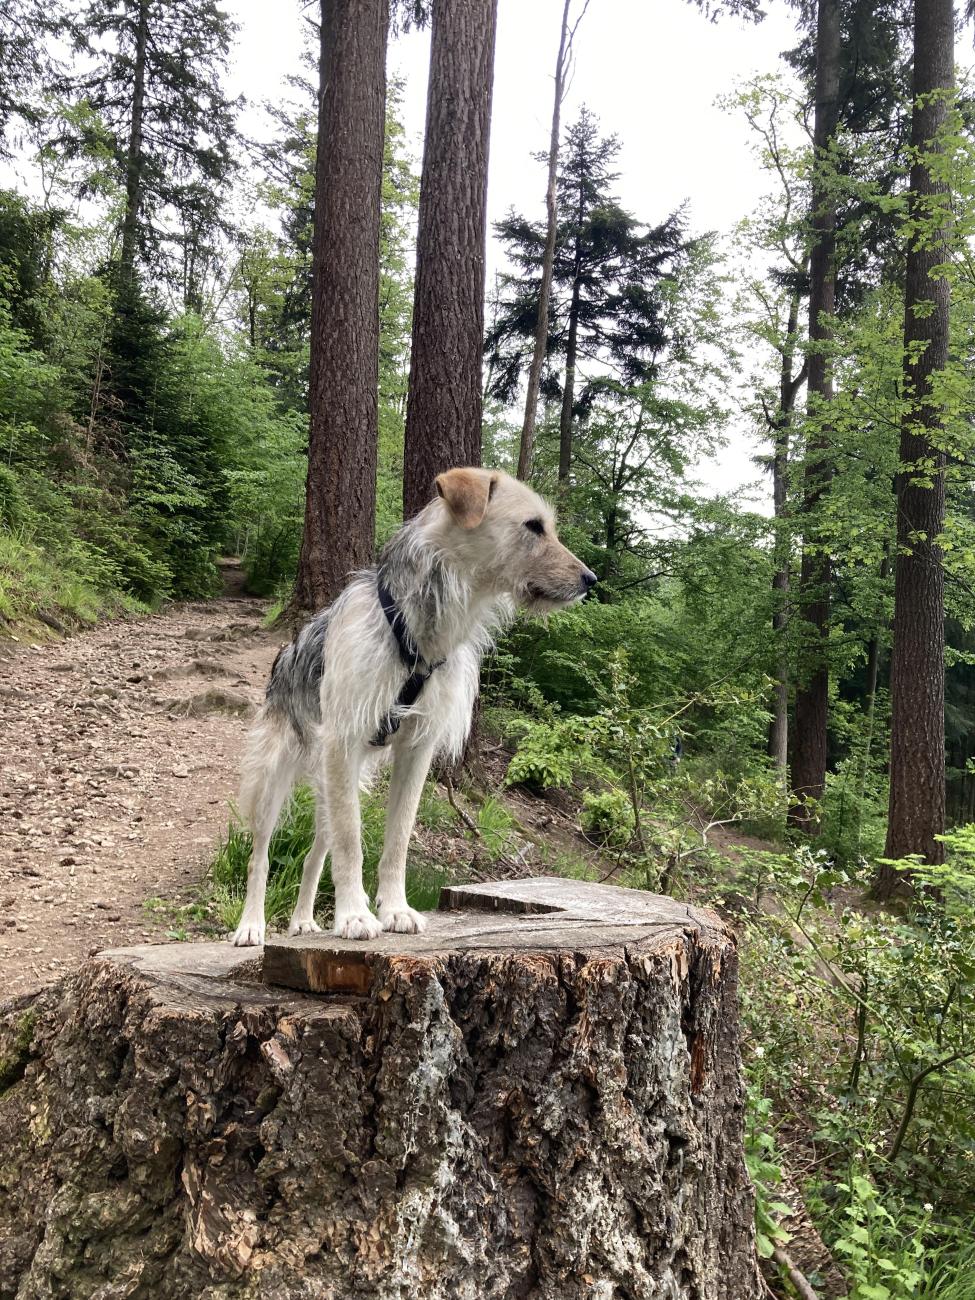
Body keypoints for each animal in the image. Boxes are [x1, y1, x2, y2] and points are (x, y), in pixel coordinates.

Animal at [231, 467, 596, 946]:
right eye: (534, 526)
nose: (591, 579)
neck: (419, 627)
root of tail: (285, 654)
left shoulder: (416, 748)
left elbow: (398, 838)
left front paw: (394, 909)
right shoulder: (343, 739)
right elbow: (351, 843)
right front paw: (354, 916)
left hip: (338, 783)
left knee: (314, 855)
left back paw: (304, 920)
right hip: (276, 777)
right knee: (261, 856)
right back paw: (251, 925)